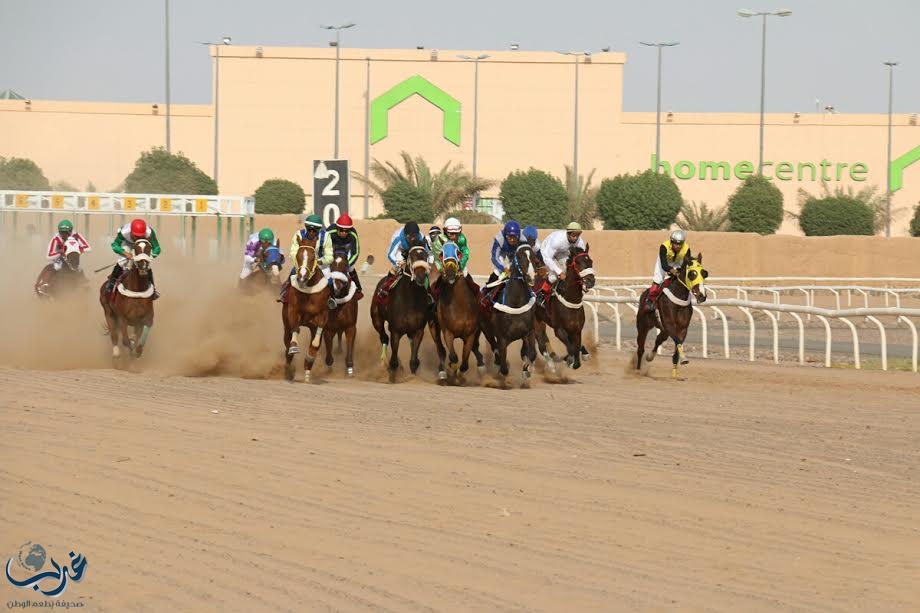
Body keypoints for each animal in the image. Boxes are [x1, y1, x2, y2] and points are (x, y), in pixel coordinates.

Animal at [284, 235, 334, 382]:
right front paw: (294, 348)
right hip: (285, 324)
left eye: (313, 257)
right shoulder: (293, 311)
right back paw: (288, 368)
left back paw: (307, 372)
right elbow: (295, 330)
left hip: (311, 326)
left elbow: (316, 342)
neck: (309, 290)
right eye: (298, 256)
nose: (302, 277)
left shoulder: (323, 315)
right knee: (287, 344)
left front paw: (310, 356)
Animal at [370, 243, 432, 378]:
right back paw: (383, 362)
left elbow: (414, 361)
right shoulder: (395, 331)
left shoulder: (418, 330)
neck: (410, 301)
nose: (421, 277)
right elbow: (393, 362)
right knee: (384, 338)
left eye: (425, 256)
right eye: (412, 256)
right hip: (376, 319)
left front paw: (413, 378)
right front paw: (392, 376)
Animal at [428, 240, 486, 380]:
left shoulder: (470, 334)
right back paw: (442, 370)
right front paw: (452, 369)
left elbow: (465, 361)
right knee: (440, 348)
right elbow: (453, 357)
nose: (450, 273)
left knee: (475, 348)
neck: (460, 306)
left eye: (458, 252)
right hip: (433, 326)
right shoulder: (448, 332)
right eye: (441, 253)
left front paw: (460, 372)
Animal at [482, 243, 540, 382]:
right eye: (519, 257)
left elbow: (531, 354)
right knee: (495, 348)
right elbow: (504, 366)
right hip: (486, 330)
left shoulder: (529, 331)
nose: (531, 277)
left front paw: (526, 370)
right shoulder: (502, 338)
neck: (516, 303)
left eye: (535, 258)